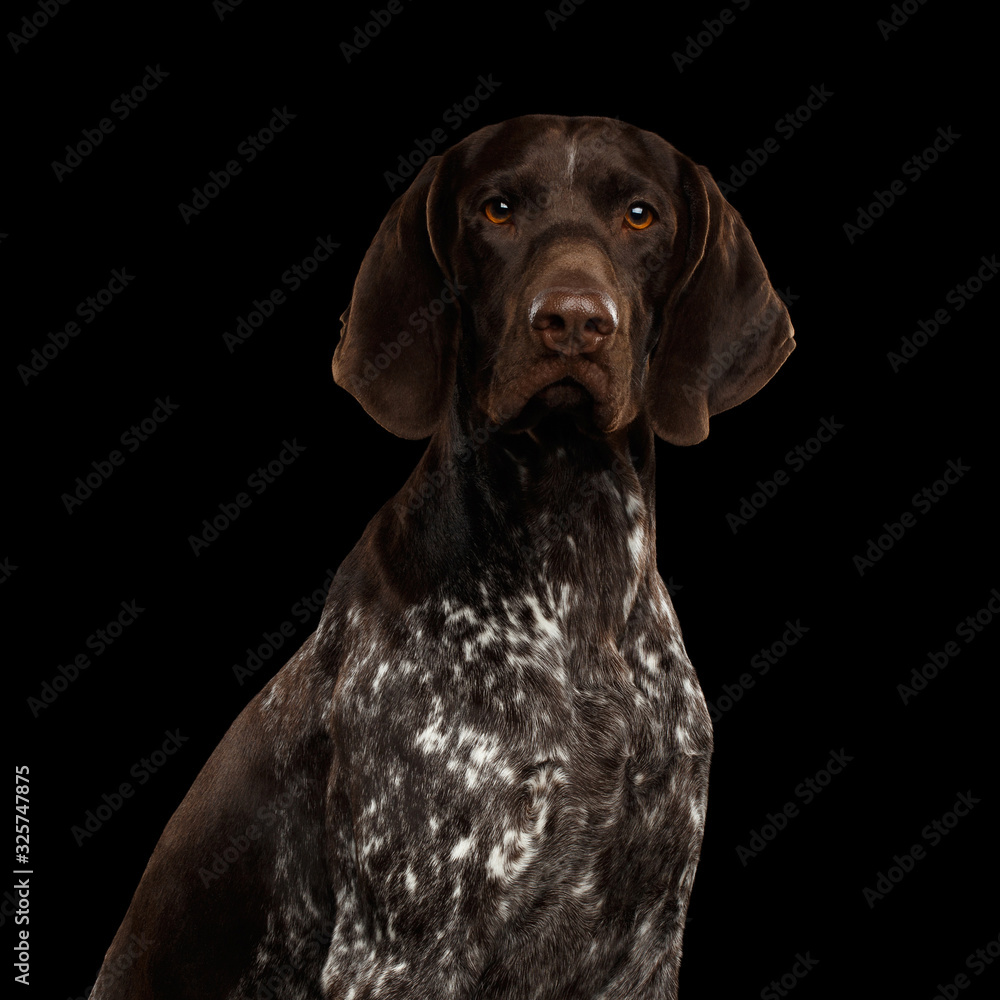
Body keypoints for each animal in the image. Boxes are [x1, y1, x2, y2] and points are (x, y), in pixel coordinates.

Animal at [94, 113, 796, 996]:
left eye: (640, 216)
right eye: (497, 209)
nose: (574, 320)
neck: (576, 567)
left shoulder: (644, 946)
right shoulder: (399, 950)